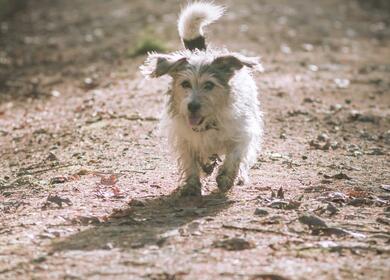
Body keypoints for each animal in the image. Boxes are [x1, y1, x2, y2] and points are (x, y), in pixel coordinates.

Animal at [139, 1, 264, 197]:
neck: (209, 123)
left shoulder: (243, 133)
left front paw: (226, 177)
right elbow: (190, 161)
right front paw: (192, 185)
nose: (193, 106)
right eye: (185, 84)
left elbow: (235, 155)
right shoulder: (184, 139)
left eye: (209, 85)